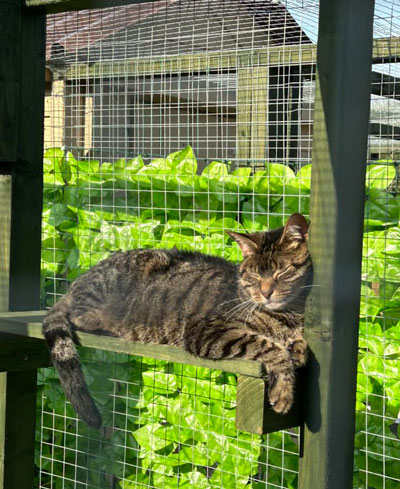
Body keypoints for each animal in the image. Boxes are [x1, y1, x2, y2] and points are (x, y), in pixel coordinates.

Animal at [43, 212, 312, 426]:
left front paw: (296, 351)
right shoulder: (206, 331)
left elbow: (295, 346)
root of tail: (75, 283)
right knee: (78, 315)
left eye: (282, 271)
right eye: (255, 276)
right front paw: (284, 390)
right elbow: (268, 346)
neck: (290, 313)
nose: (266, 293)